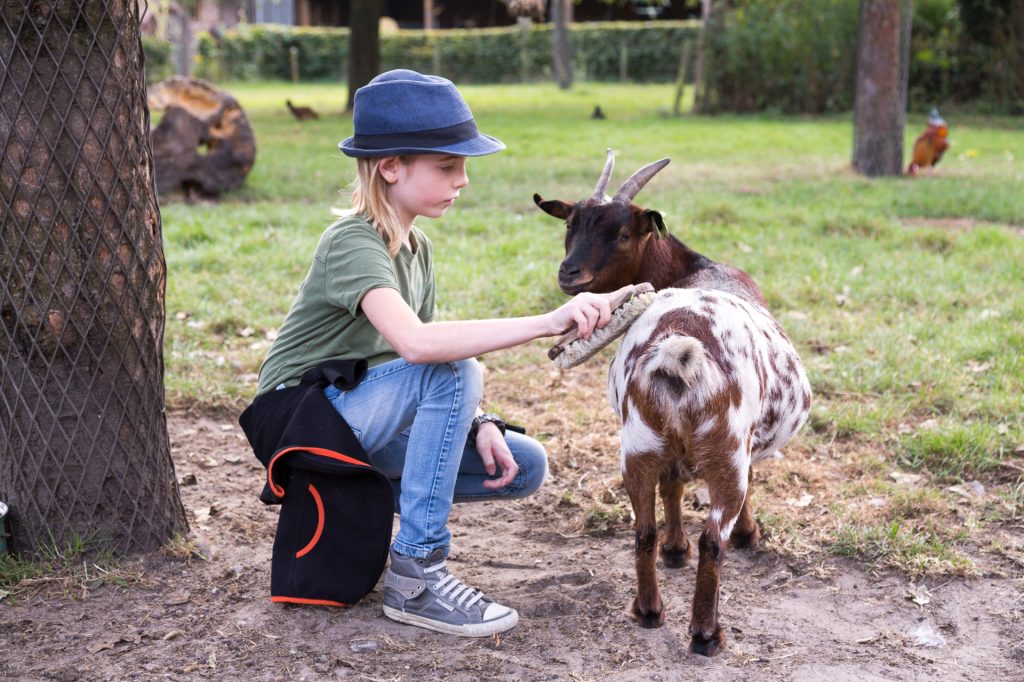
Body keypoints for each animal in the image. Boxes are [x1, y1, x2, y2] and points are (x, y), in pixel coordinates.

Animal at [536, 150, 806, 655]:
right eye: (570, 225)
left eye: (622, 233)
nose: (569, 273)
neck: (692, 267)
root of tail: (679, 351)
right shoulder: (744, 449)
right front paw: (747, 534)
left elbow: (672, 486)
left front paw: (673, 549)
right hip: (725, 452)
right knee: (713, 541)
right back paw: (706, 634)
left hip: (638, 445)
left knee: (642, 527)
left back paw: (648, 610)